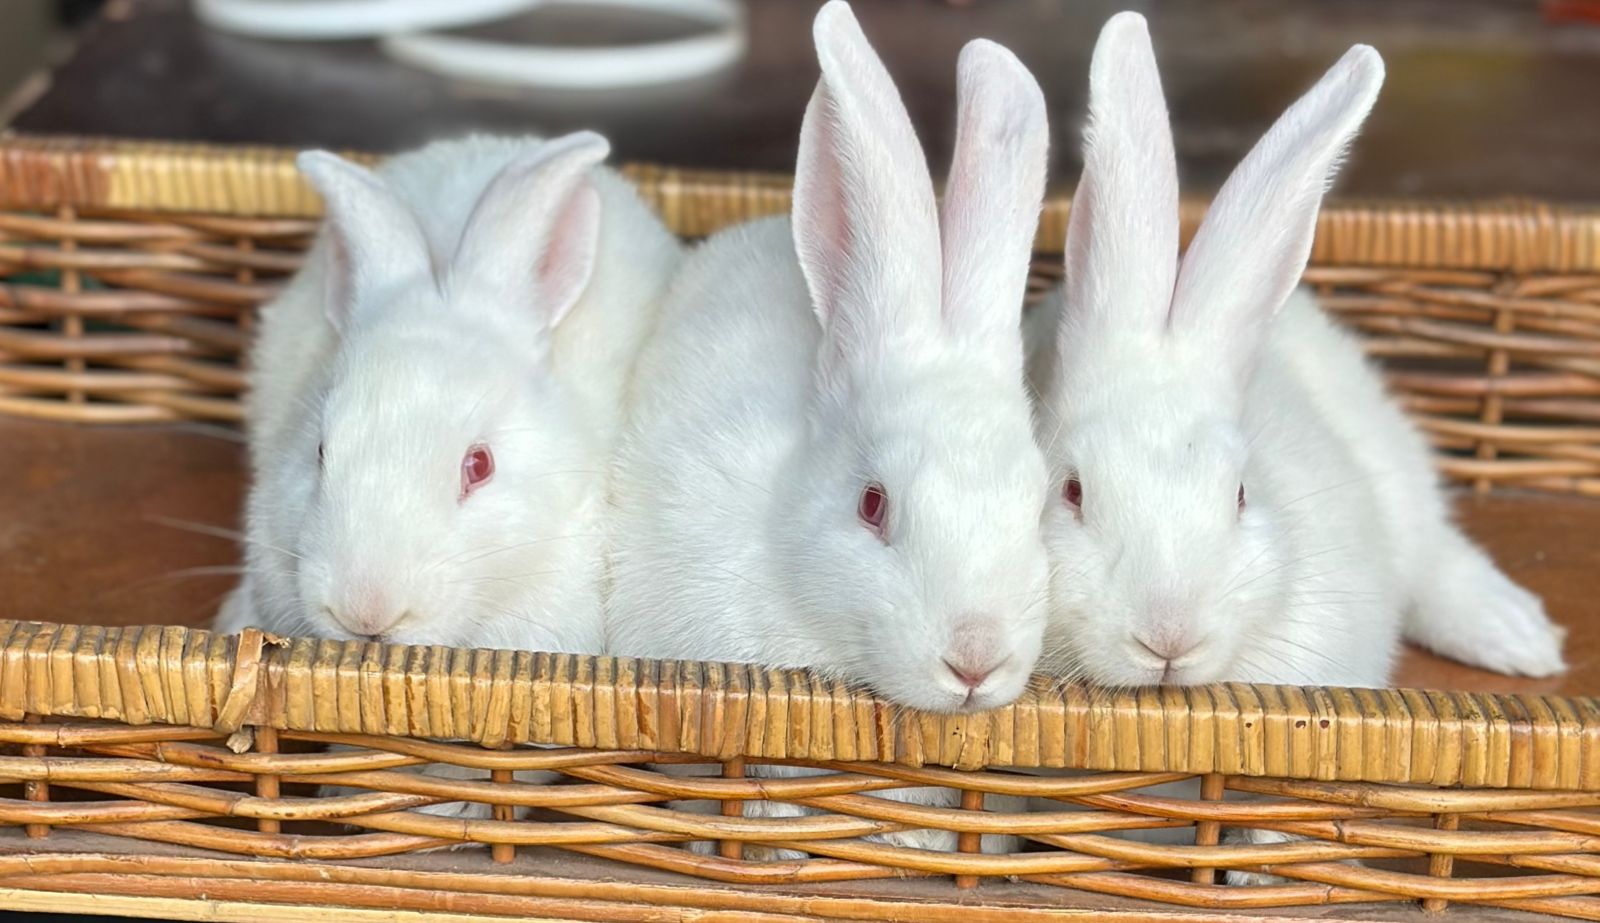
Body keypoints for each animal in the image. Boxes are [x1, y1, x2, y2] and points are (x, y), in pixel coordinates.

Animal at [1027, 12, 1566, 883]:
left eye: (1241, 494)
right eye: (1071, 492)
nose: (1168, 636)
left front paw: (1261, 865)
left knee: (1436, 559)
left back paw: (1520, 639)